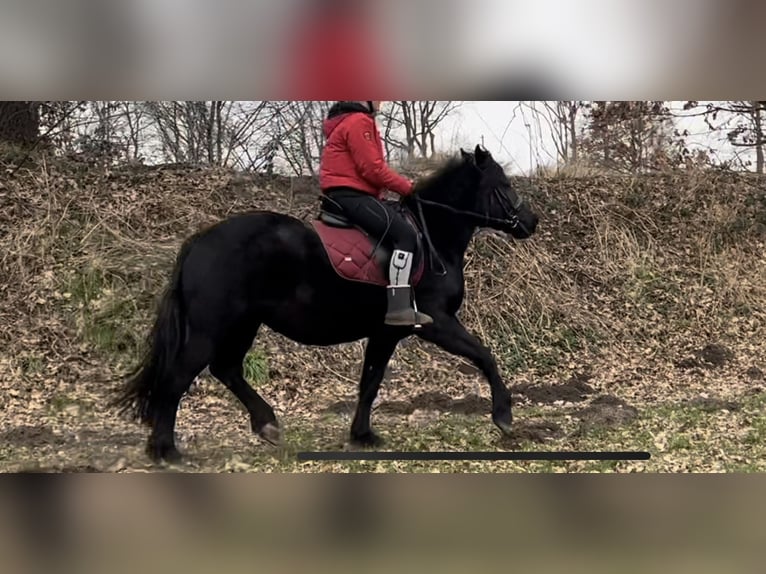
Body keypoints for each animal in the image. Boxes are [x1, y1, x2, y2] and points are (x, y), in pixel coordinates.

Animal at [117, 146, 544, 466]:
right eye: (504, 184)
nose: (531, 221)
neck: (432, 236)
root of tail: (198, 242)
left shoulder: (386, 332)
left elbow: (370, 382)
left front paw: (363, 435)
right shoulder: (435, 321)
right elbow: (484, 355)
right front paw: (504, 416)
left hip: (244, 324)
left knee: (226, 369)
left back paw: (266, 425)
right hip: (212, 328)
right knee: (178, 377)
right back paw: (166, 451)